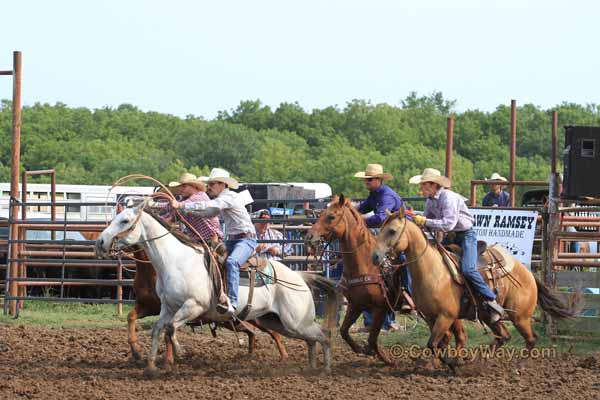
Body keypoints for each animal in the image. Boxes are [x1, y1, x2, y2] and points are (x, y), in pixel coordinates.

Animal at [96, 203, 336, 376]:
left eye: (125, 220)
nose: (100, 242)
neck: (175, 260)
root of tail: (300, 277)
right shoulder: (167, 307)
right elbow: (157, 329)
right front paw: (151, 366)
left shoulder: (193, 306)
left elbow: (171, 328)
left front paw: (179, 353)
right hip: (278, 321)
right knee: (310, 339)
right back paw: (311, 367)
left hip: (295, 321)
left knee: (323, 335)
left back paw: (325, 369)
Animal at [304, 195, 464, 366]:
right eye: (321, 214)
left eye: (331, 216)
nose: (309, 237)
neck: (365, 264)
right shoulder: (356, 304)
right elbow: (344, 331)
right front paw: (361, 349)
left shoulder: (380, 308)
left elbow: (372, 338)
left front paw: (384, 358)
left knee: (457, 334)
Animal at [372, 211, 580, 368]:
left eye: (392, 231)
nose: (375, 257)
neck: (432, 270)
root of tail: (528, 274)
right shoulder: (431, 317)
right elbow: (438, 343)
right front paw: (446, 362)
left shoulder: (446, 316)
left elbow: (434, 343)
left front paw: (451, 364)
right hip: (489, 316)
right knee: (503, 336)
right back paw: (477, 360)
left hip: (520, 316)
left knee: (530, 339)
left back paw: (517, 366)